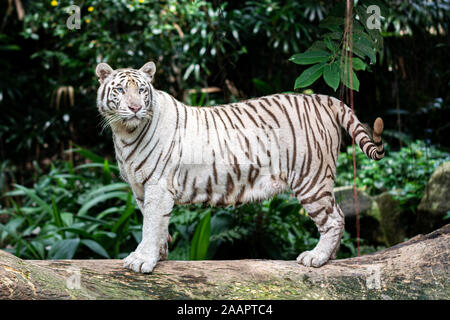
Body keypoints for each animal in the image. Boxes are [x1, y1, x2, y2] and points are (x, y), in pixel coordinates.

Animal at [96, 60, 384, 272]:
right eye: (120, 90)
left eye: (142, 90)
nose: (135, 108)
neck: (124, 133)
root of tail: (324, 99)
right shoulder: (141, 189)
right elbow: (156, 225)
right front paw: (158, 254)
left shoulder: (157, 185)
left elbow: (150, 224)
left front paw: (142, 260)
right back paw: (331, 257)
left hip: (310, 178)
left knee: (334, 218)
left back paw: (317, 258)